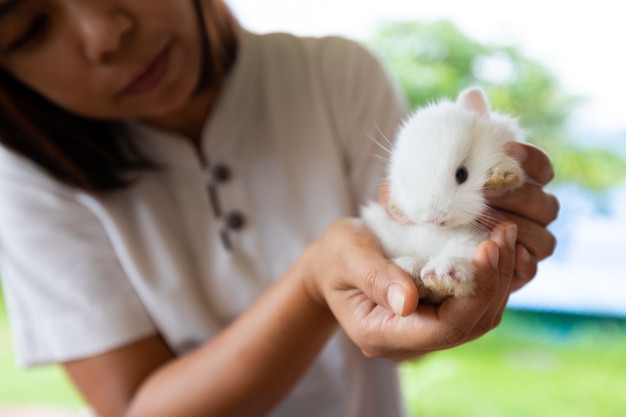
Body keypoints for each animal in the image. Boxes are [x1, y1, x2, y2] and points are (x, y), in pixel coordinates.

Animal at [360, 87, 528, 302]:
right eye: (408, 178)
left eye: (462, 174)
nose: (435, 219)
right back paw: (411, 271)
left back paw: (442, 274)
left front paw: (503, 175)